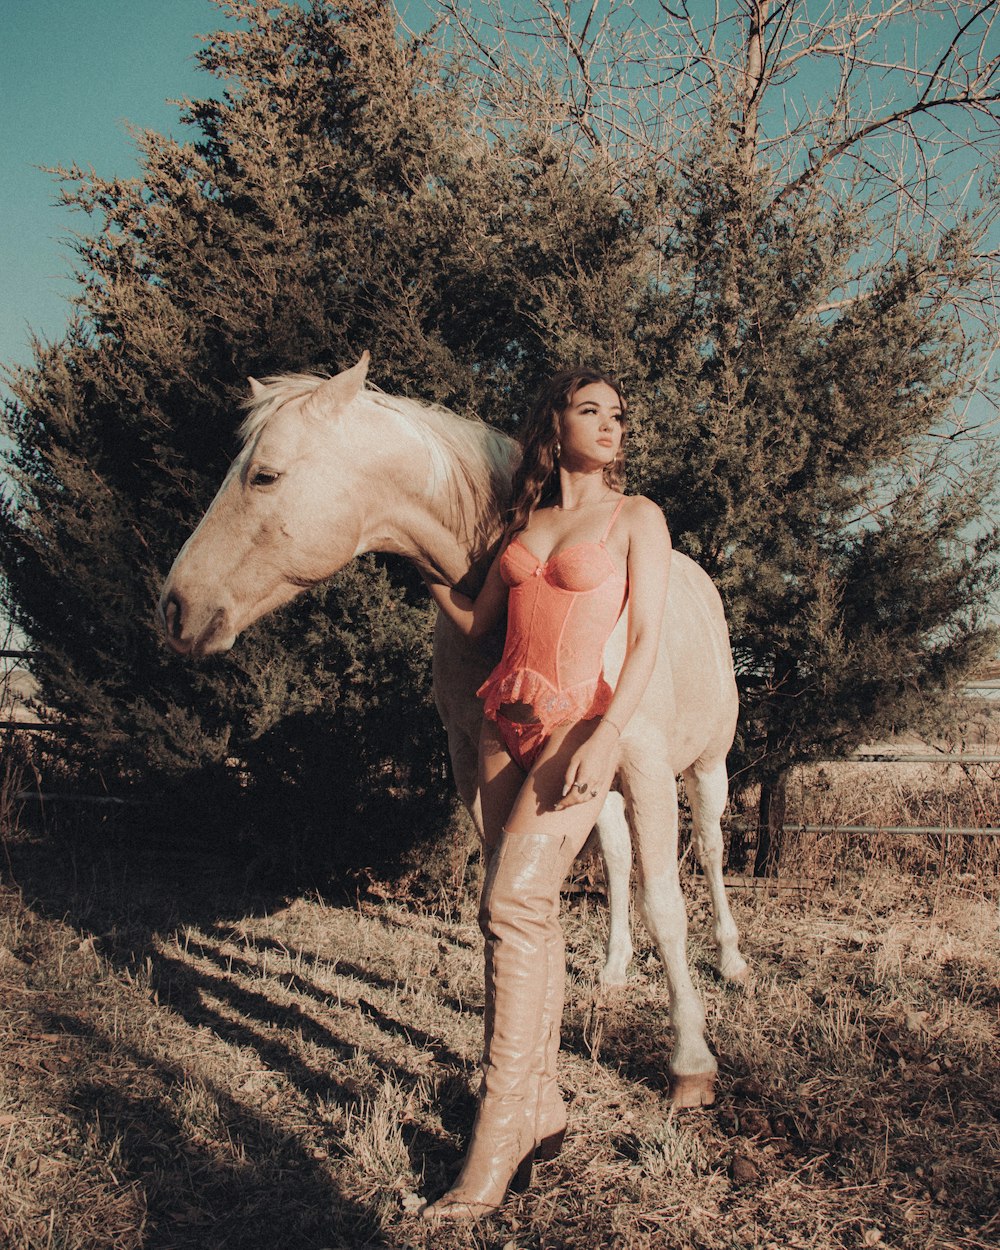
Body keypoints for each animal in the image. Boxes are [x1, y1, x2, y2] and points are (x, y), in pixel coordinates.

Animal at [160, 352, 745, 1105]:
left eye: (264, 475)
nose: (176, 607)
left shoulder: (644, 766)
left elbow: (666, 904)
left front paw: (690, 1061)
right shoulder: (478, 764)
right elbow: (504, 904)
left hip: (702, 768)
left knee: (711, 850)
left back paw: (730, 960)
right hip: (598, 784)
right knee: (617, 859)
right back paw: (614, 971)